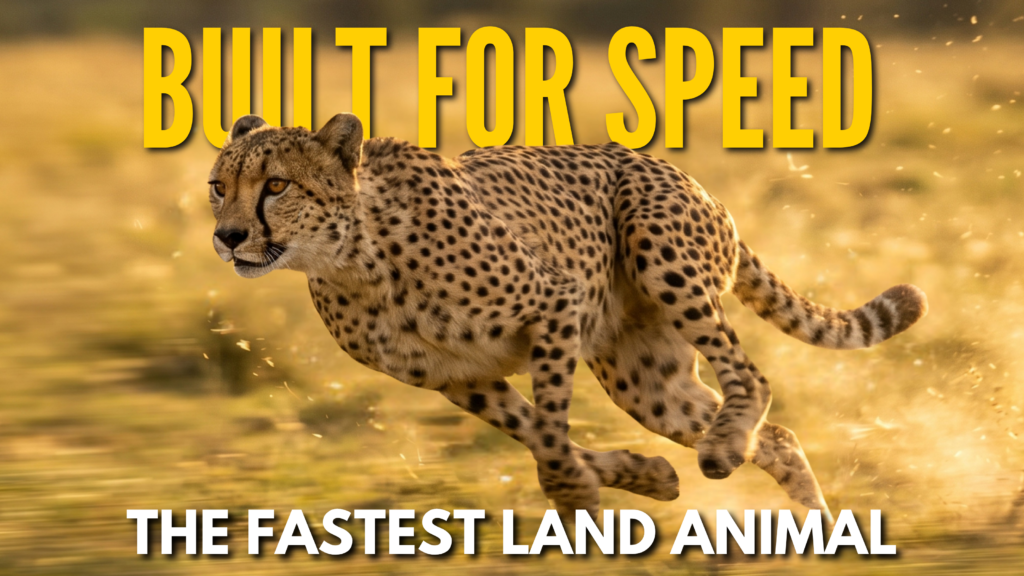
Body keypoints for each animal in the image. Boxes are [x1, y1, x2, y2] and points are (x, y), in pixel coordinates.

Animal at [207, 113, 928, 521]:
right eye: (219, 186)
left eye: (277, 185)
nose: (229, 237)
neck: (354, 257)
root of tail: (685, 176)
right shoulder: (456, 377)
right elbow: (534, 429)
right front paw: (639, 476)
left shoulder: (556, 304)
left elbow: (551, 427)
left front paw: (574, 493)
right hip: (645, 380)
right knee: (774, 433)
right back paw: (817, 534)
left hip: (660, 250)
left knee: (751, 376)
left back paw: (728, 446)